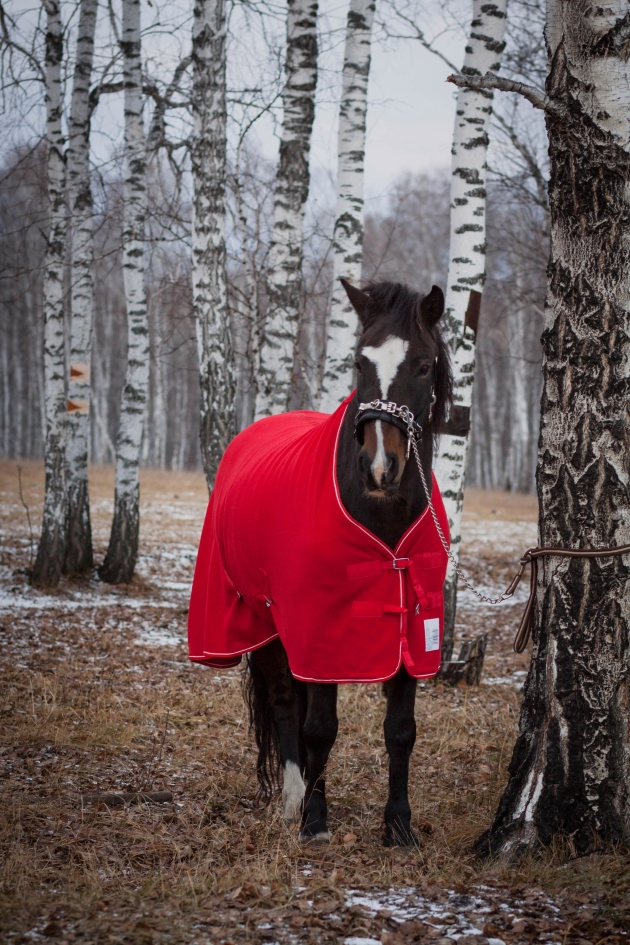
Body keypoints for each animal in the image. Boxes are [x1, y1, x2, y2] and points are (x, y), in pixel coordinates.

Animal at [188, 276, 454, 844]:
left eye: (423, 365)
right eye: (358, 362)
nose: (380, 466)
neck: (380, 521)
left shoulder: (411, 630)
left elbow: (401, 730)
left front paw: (399, 825)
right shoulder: (319, 629)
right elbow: (318, 726)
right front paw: (315, 819)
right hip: (261, 620)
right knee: (287, 704)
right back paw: (294, 798)